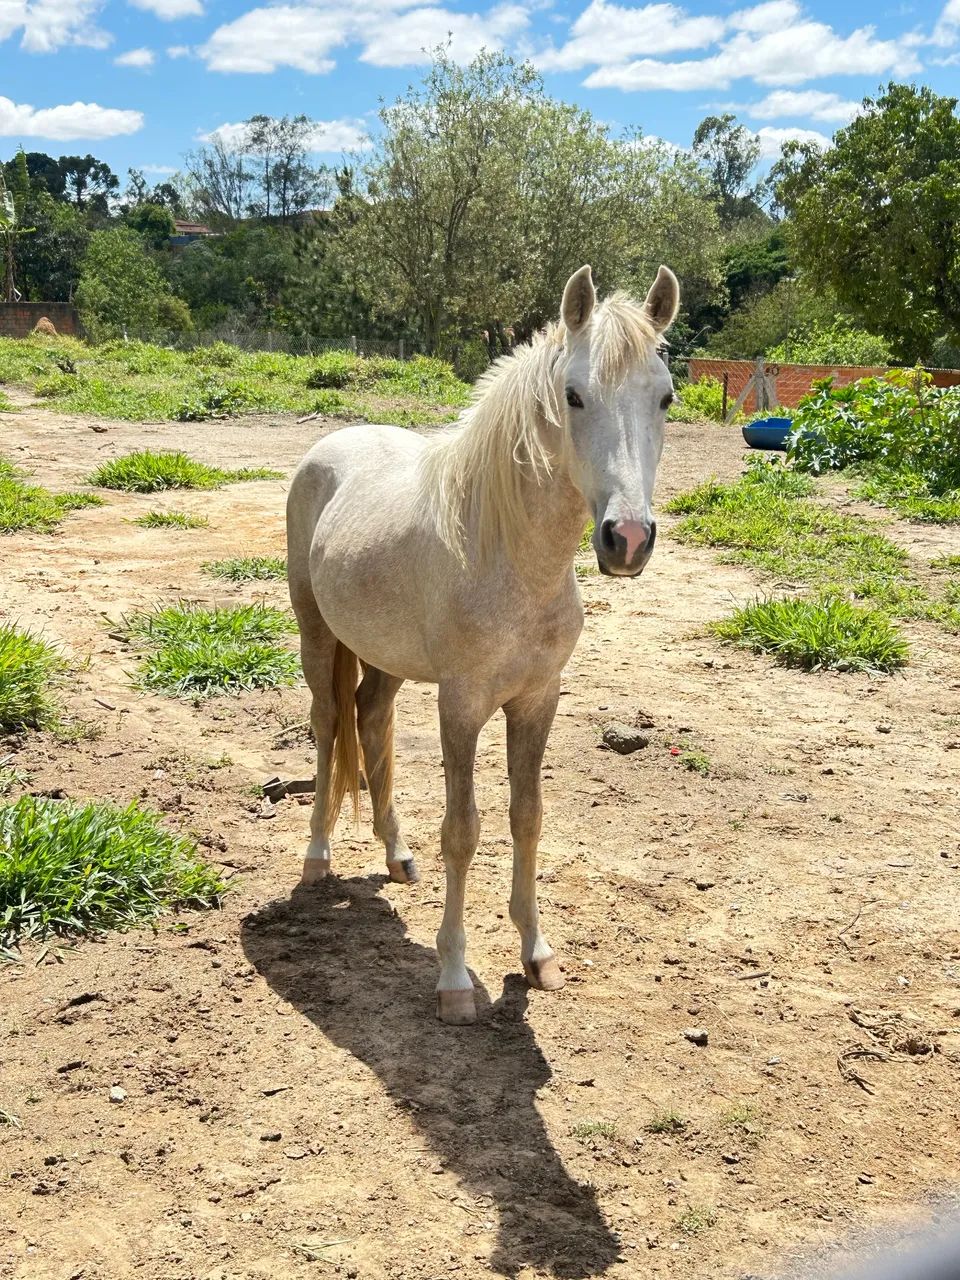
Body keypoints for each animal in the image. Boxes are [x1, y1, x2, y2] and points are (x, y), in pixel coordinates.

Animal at [286, 264, 680, 1024]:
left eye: (666, 397)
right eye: (573, 395)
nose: (627, 539)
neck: (506, 556)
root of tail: (327, 450)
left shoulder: (536, 700)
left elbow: (527, 817)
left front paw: (537, 953)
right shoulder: (462, 705)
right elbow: (463, 831)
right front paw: (453, 979)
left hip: (386, 659)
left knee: (369, 719)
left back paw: (396, 854)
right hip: (315, 633)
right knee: (327, 727)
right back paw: (317, 856)